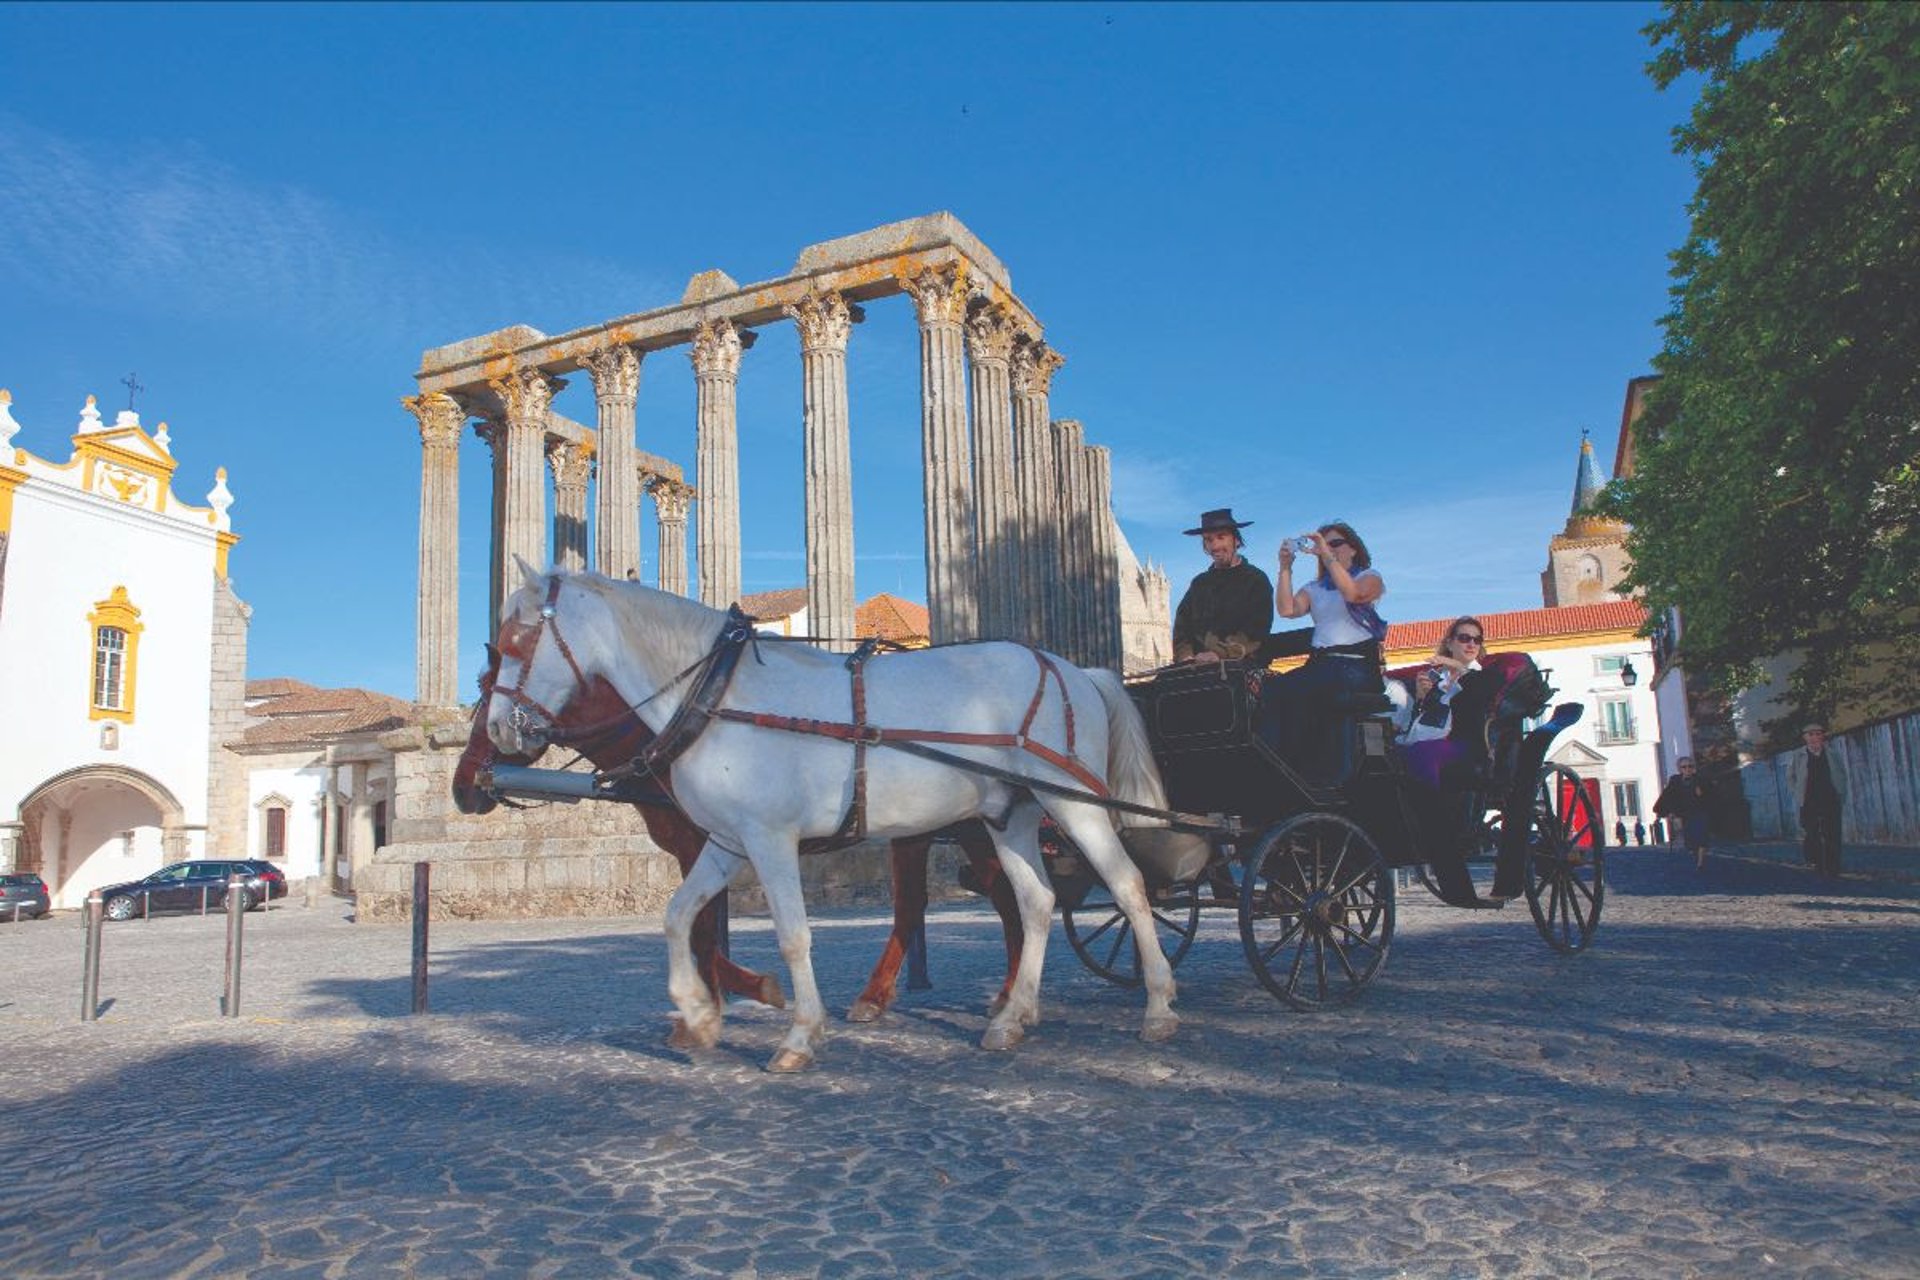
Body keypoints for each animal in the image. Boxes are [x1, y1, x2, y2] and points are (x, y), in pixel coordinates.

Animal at [483, 564, 1167, 1074]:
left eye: (514, 642)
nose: (496, 730)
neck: (719, 696)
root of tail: (1074, 669)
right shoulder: (727, 842)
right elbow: (678, 916)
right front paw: (698, 1015)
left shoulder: (769, 839)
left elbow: (793, 935)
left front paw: (798, 1035)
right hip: (1011, 818)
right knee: (1036, 902)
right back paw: (1012, 1017)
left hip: (1074, 802)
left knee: (1127, 886)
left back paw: (1158, 1006)